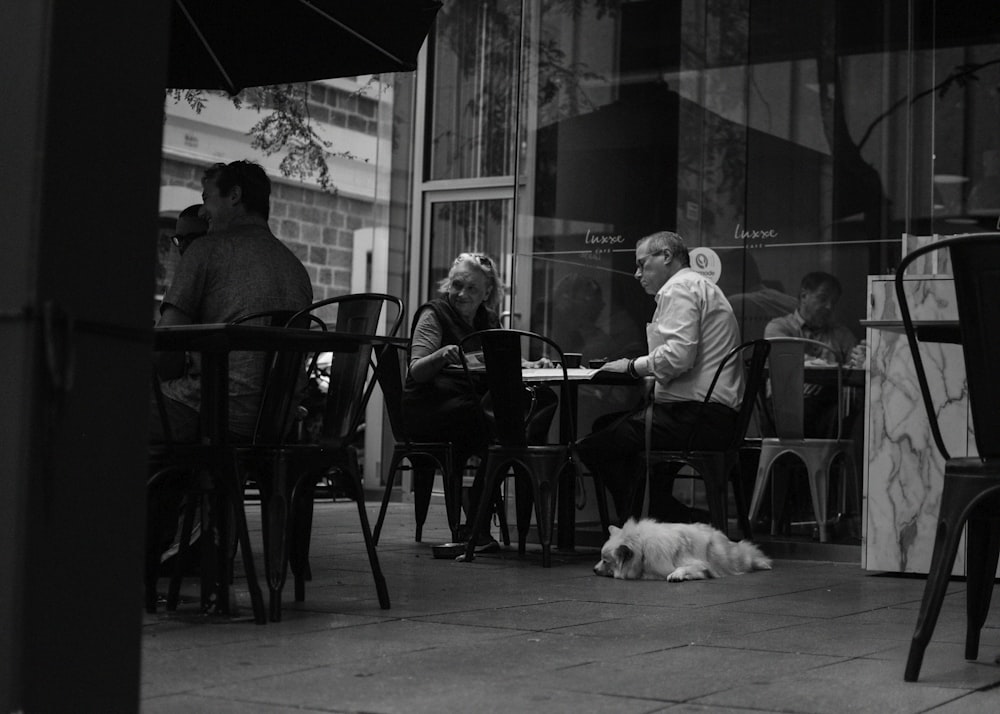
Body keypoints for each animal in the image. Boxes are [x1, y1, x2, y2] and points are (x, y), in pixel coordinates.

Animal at [592, 516, 772, 580]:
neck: (642, 546)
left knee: (748, 553)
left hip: (731, 557)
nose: (593, 569)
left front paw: (676, 575)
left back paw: (763, 563)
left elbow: (681, 568)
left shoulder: (697, 563)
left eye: (605, 561)